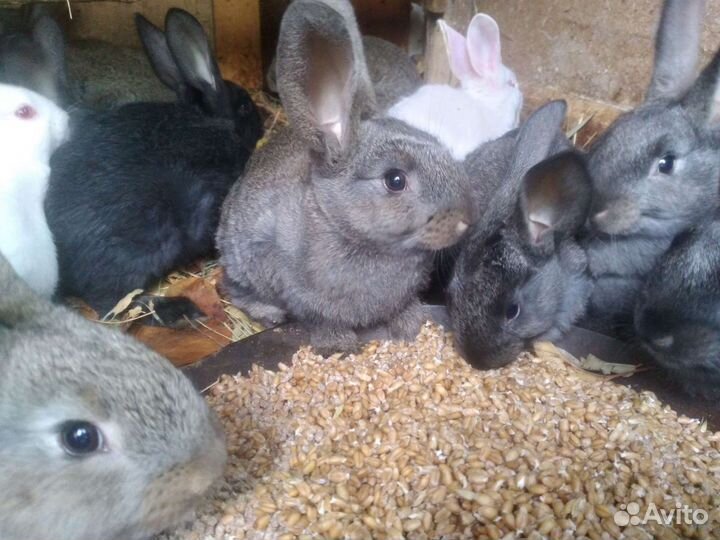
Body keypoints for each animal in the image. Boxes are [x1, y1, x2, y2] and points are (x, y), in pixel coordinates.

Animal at [218, 0, 473, 354]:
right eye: (395, 180)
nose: (465, 220)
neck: (339, 226)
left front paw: (410, 325)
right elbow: (319, 320)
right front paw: (338, 345)